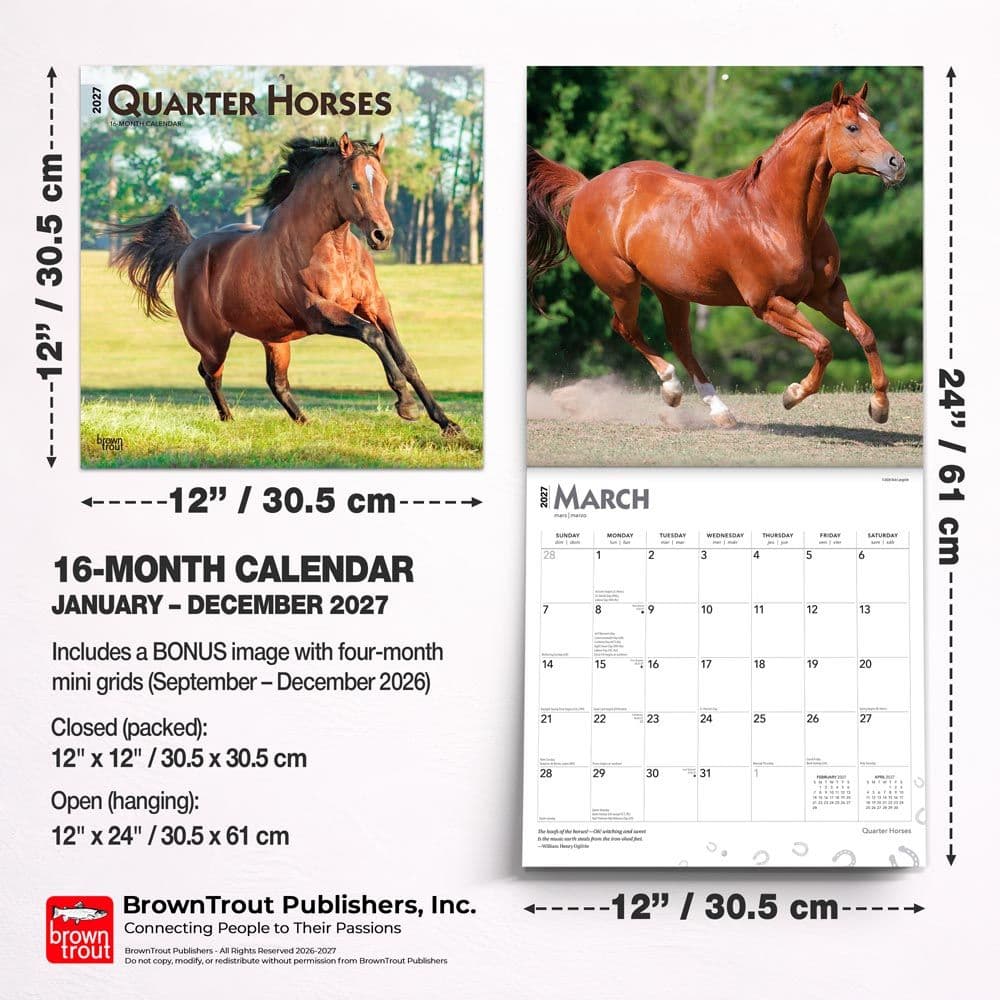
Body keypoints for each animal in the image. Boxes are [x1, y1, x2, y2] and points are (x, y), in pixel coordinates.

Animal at [111, 132, 460, 435]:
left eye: (384, 183)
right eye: (355, 184)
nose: (382, 236)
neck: (334, 249)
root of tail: (188, 248)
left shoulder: (375, 304)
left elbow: (404, 358)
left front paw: (447, 423)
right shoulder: (319, 313)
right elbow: (371, 335)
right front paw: (406, 405)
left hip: (276, 340)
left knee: (275, 382)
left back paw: (305, 422)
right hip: (213, 340)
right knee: (209, 373)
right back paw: (229, 419)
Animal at [527, 82, 907, 428]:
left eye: (877, 123)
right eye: (852, 127)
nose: (897, 164)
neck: (774, 215)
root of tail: (586, 188)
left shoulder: (826, 293)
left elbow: (865, 334)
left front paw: (879, 408)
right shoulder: (768, 303)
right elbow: (824, 346)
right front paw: (792, 394)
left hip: (670, 291)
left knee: (679, 340)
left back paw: (720, 412)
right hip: (621, 285)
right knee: (626, 328)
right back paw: (671, 389)